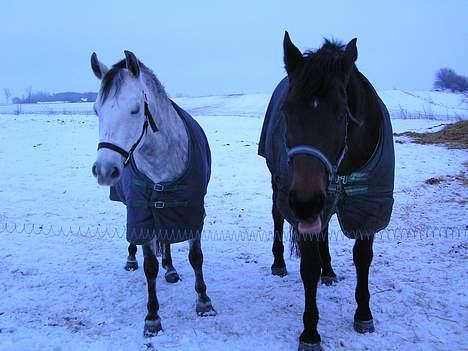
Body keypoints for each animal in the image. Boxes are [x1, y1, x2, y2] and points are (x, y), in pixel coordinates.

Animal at [258, 31, 394, 350]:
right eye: (287, 110)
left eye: (343, 113)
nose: (305, 202)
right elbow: (308, 267)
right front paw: (310, 333)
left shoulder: (367, 206)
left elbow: (363, 259)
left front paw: (364, 315)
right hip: (279, 187)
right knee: (277, 218)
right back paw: (279, 263)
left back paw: (329, 271)